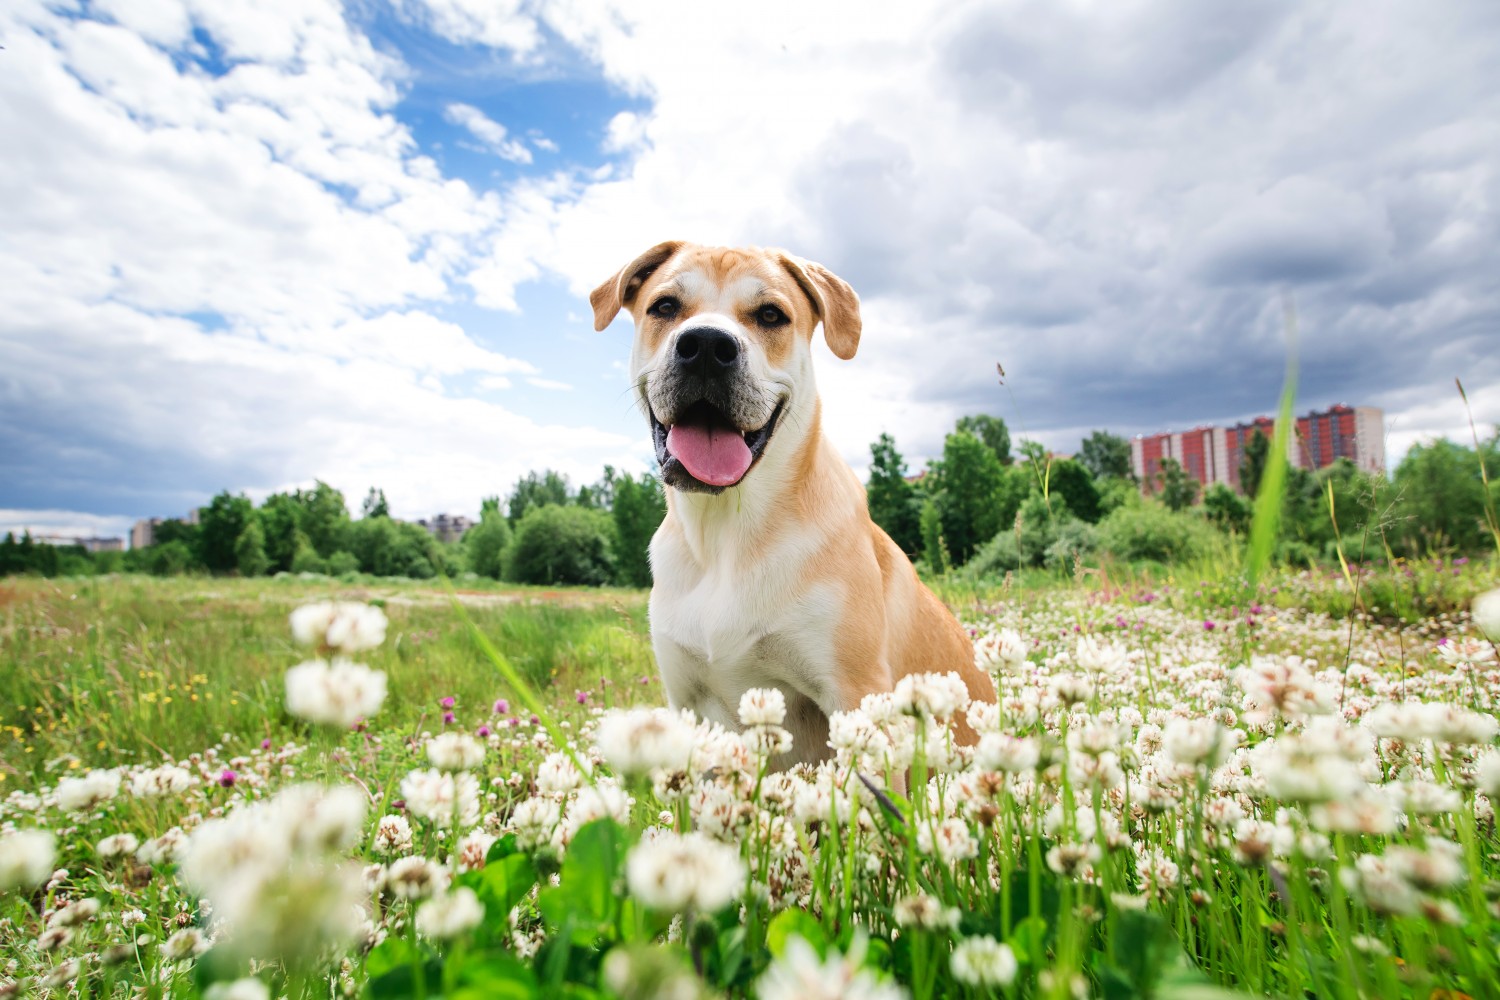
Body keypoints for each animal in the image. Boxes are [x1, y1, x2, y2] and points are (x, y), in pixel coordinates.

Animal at [588, 242, 996, 767]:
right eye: (664, 306)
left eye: (770, 315)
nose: (706, 347)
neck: (725, 536)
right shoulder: (689, 702)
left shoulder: (855, 691)